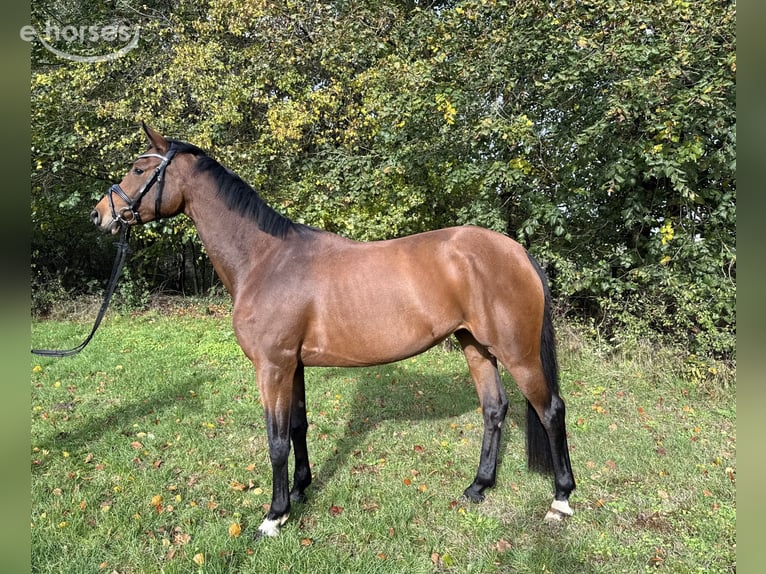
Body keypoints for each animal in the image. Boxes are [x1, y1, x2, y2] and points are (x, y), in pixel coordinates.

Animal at [91, 123, 575, 537]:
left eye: (139, 169)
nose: (100, 215)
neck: (266, 260)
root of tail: (516, 251)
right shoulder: (293, 365)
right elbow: (298, 427)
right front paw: (300, 490)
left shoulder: (272, 366)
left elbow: (276, 441)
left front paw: (274, 515)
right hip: (476, 346)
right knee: (494, 410)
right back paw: (478, 487)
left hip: (517, 353)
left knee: (551, 409)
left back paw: (561, 500)